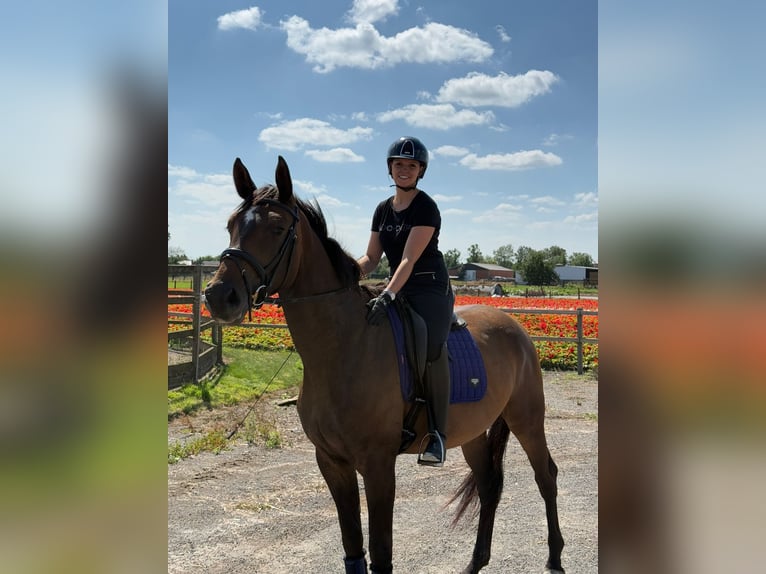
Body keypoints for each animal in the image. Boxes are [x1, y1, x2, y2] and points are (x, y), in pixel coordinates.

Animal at [204, 156, 565, 574]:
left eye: (277, 228)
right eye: (231, 225)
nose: (219, 296)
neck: (343, 348)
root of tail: (514, 325)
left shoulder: (378, 466)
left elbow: (381, 553)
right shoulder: (332, 463)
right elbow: (353, 548)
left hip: (527, 419)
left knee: (546, 476)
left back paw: (555, 557)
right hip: (474, 431)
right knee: (489, 485)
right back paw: (475, 562)